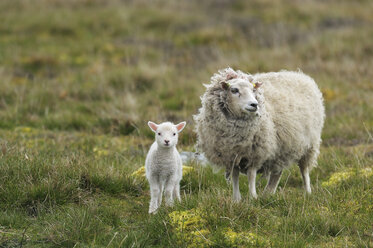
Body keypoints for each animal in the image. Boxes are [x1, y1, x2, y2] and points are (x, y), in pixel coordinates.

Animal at [193, 68, 324, 202]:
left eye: (253, 90)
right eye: (234, 90)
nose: (254, 104)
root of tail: (299, 75)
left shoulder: (255, 153)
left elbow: (251, 175)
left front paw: (253, 196)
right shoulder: (232, 155)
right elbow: (235, 176)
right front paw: (236, 199)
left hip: (310, 144)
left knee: (304, 170)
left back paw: (307, 191)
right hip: (282, 148)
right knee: (277, 172)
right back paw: (268, 193)